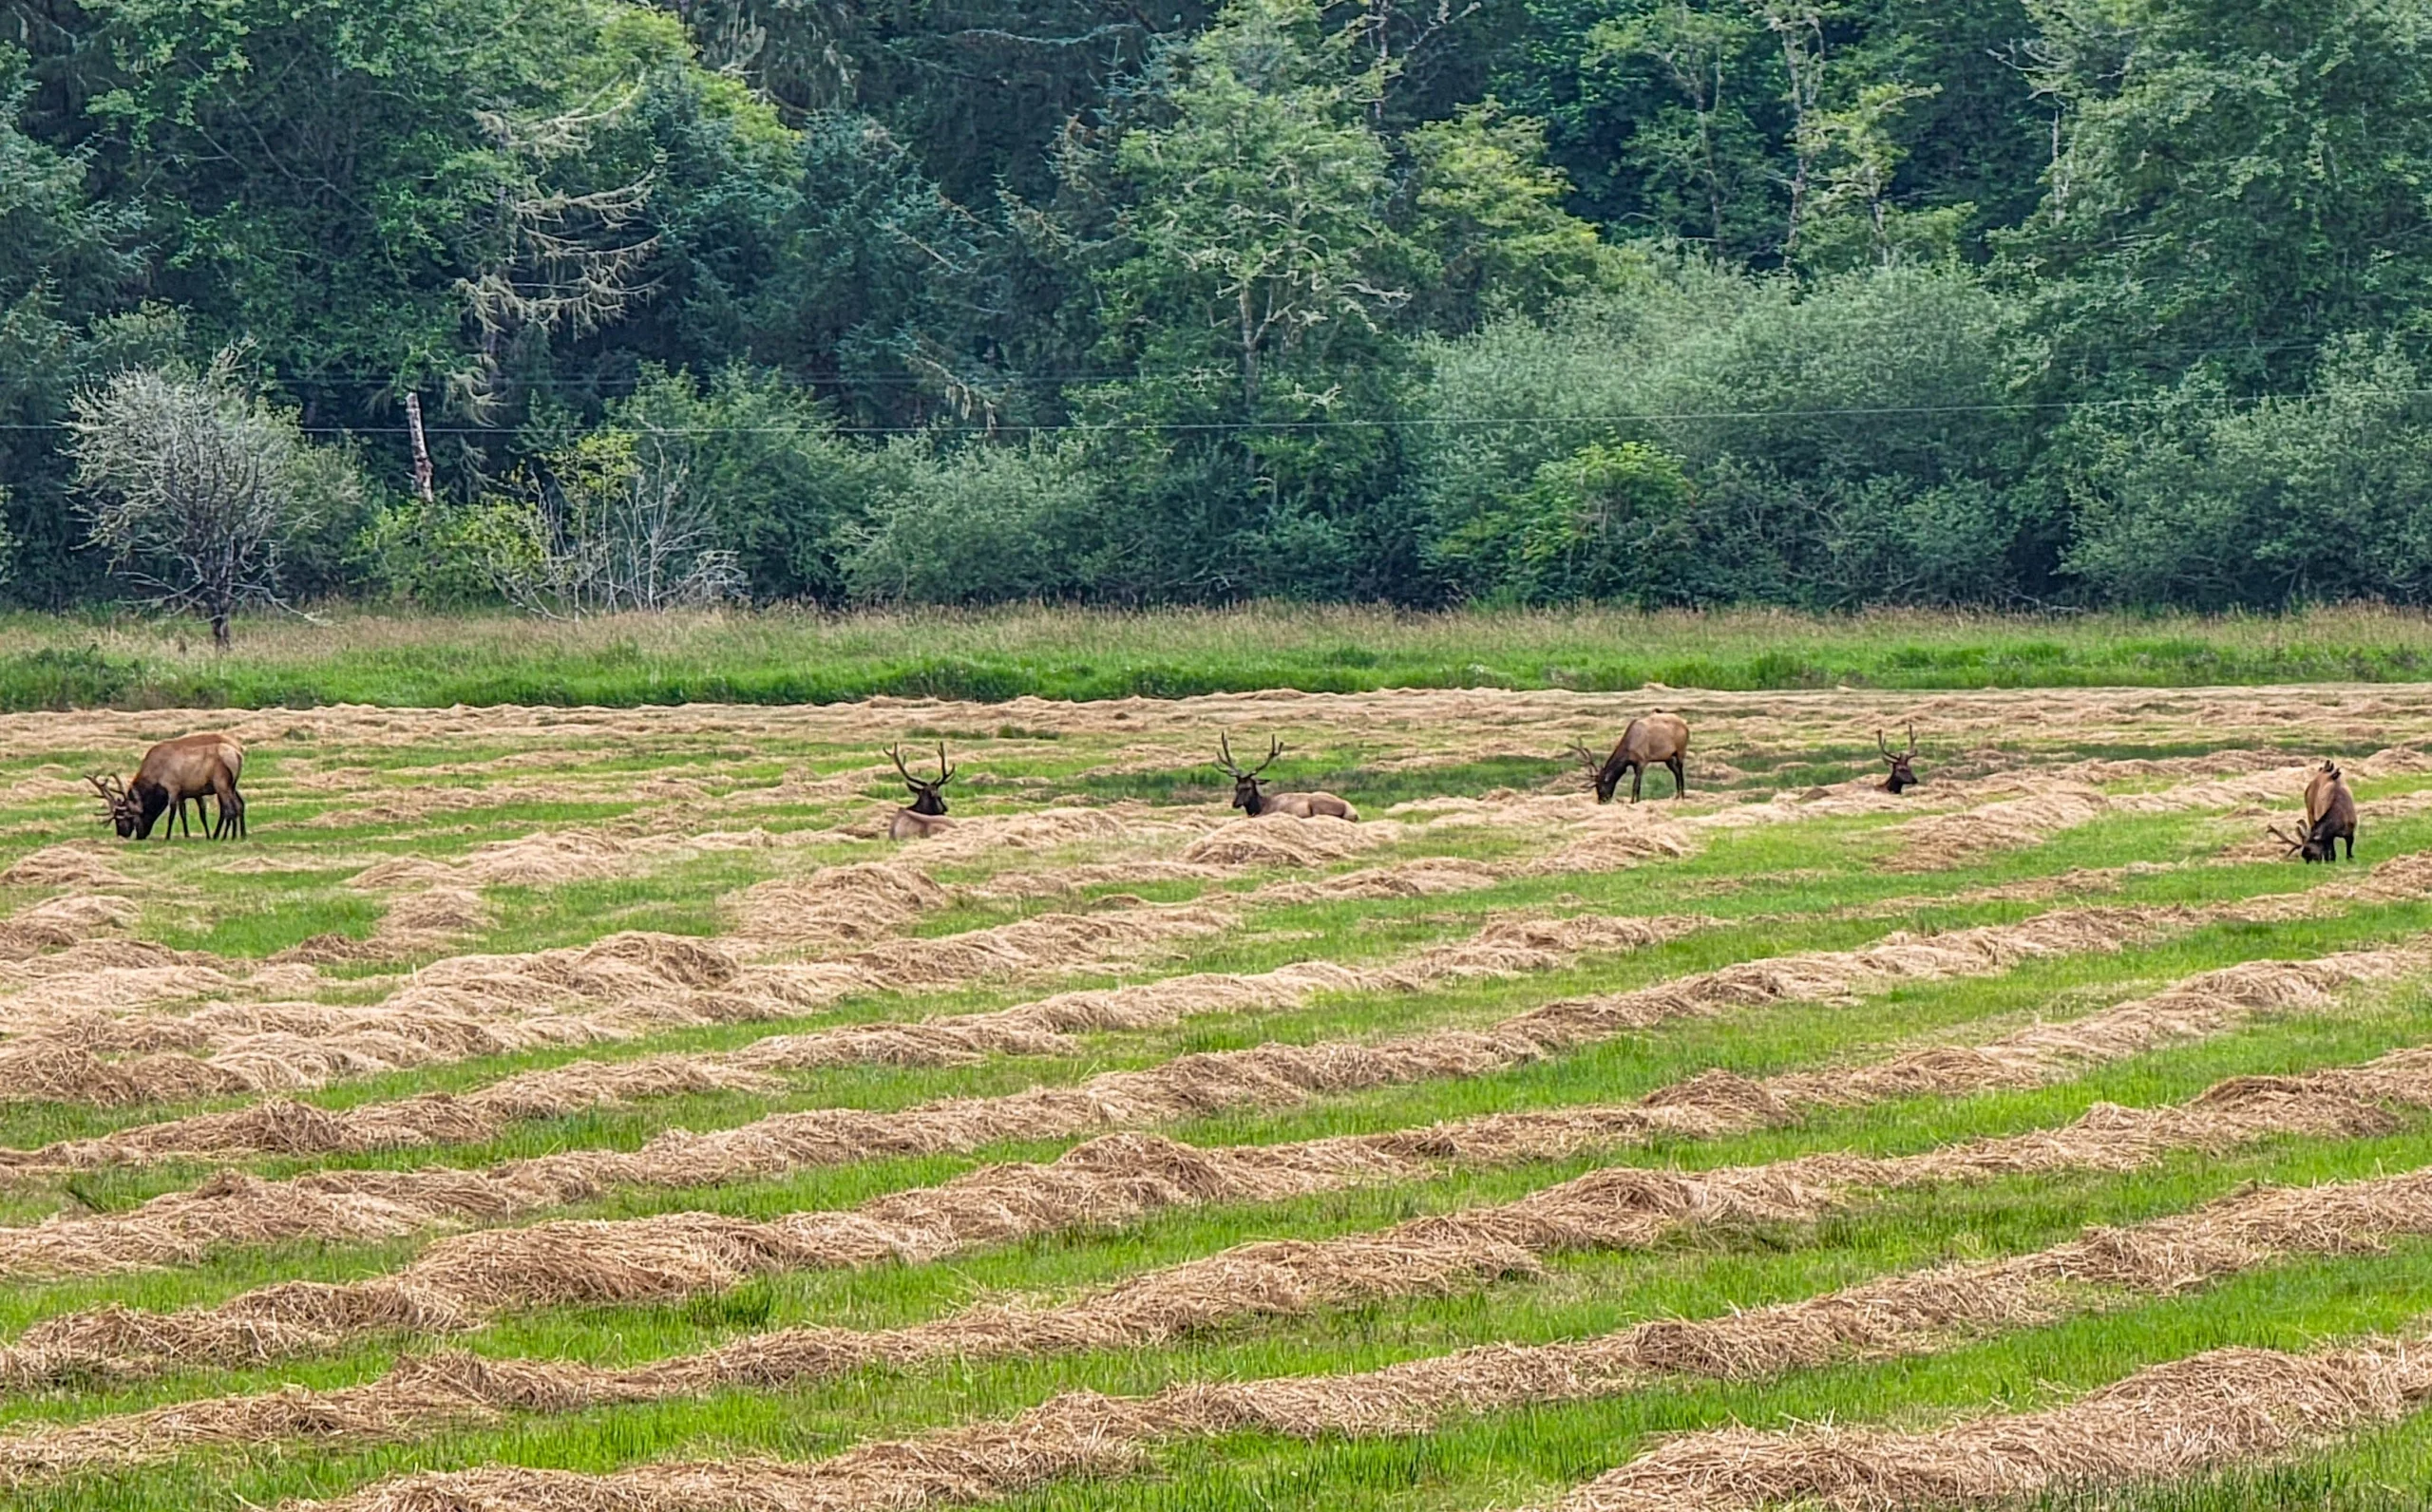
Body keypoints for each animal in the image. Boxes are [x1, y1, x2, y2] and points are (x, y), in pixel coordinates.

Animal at [89, 733, 246, 841]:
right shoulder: (184, 792)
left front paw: (167, 836)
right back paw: (239, 834)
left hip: (221, 785)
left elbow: (172, 814)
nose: (123, 835)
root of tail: (238, 753)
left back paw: (226, 836)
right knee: (239, 805)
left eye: (123, 819)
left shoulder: (173, 787)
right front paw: (187, 835)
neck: (155, 773)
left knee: (229, 809)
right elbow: (184, 814)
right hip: (231, 785)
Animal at [1214, 734, 1358, 820]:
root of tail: (1353, 812)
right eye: (1236, 787)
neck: (1261, 806)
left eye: (1248, 787)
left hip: (1318, 805)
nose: (1235, 803)